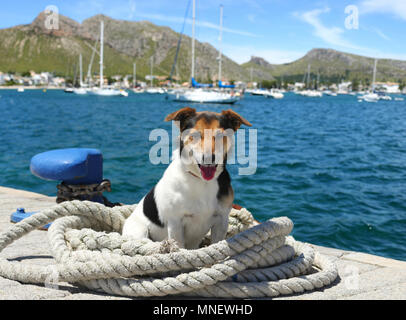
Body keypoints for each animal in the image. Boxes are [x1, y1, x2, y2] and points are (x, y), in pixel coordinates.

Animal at [122, 106, 252, 249]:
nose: (208, 158)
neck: (201, 181)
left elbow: (216, 243)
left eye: (220, 136)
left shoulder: (222, 220)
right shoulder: (175, 223)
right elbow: (179, 247)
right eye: (194, 136)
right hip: (139, 231)